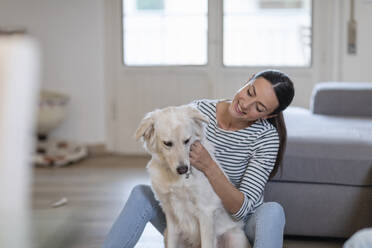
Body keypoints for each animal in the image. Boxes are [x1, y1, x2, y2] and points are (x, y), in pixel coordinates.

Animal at [136, 104, 250, 248]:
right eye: (167, 143)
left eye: (187, 141)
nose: (183, 169)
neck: (177, 179)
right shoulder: (170, 213)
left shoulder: (206, 211)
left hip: (234, 238)